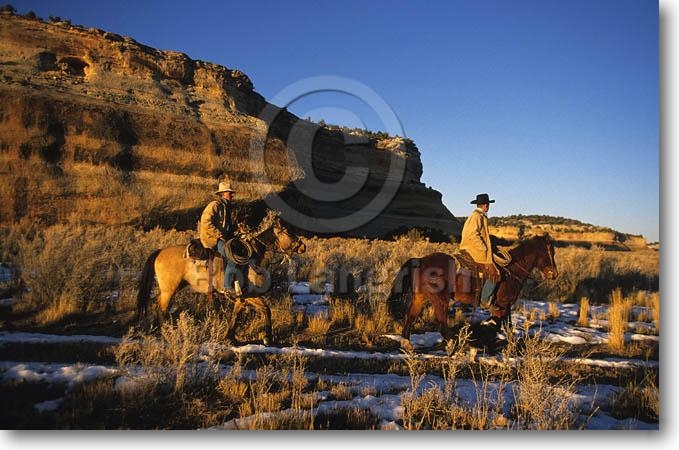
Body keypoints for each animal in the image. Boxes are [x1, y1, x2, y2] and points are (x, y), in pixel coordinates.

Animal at [136, 209, 306, 345]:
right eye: (288, 232)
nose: (303, 246)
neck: (255, 259)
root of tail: (159, 251)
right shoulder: (250, 295)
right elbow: (266, 309)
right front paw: (267, 338)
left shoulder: (241, 298)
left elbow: (236, 315)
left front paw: (231, 337)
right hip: (169, 289)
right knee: (162, 308)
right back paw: (165, 332)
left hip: (170, 288)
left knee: (155, 304)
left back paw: (156, 330)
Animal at [387, 234, 557, 343]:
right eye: (550, 252)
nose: (554, 274)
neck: (511, 270)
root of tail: (420, 260)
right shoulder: (502, 305)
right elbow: (498, 325)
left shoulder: (506, 306)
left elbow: (506, 326)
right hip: (440, 299)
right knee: (441, 322)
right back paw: (453, 346)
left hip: (420, 297)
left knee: (411, 314)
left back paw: (407, 343)